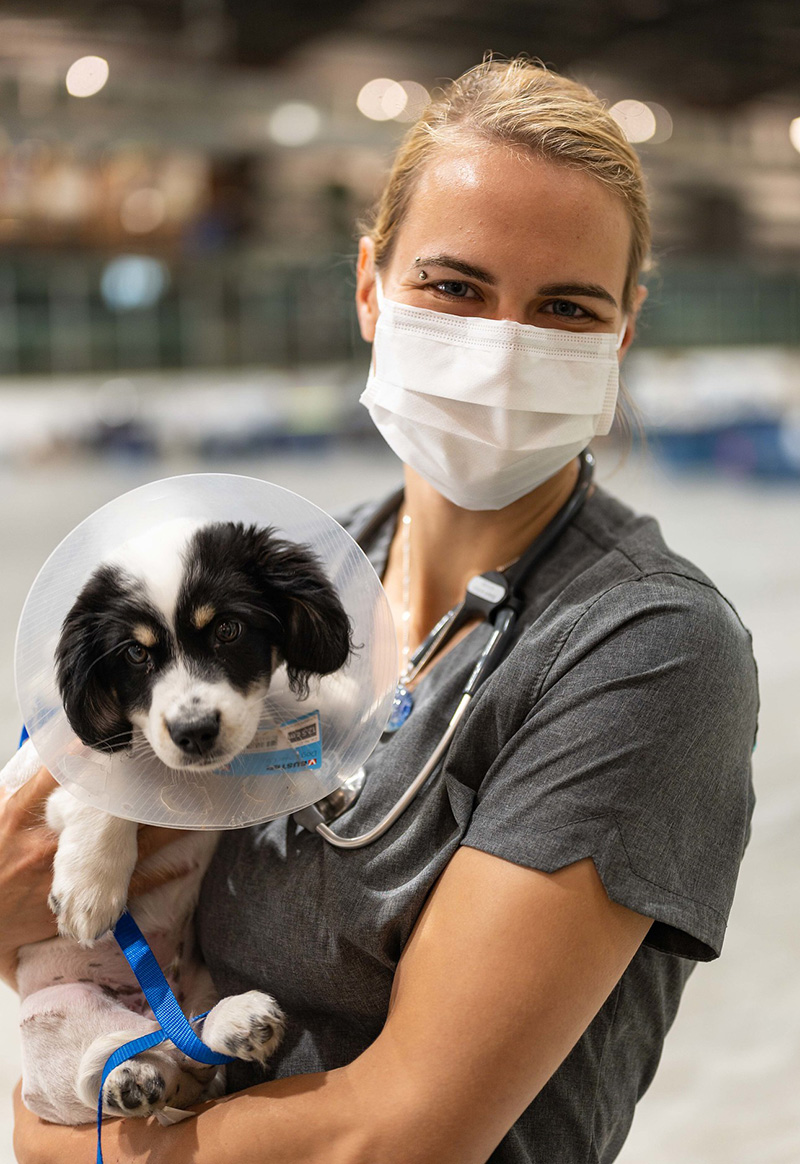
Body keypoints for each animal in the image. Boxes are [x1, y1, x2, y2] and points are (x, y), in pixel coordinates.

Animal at [3, 521, 351, 1126]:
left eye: (228, 630)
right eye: (134, 655)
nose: (194, 732)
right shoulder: (46, 774)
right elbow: (113, 779)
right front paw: (89, 889)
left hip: (201, 977)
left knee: (189, 1047)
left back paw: (236, 1024)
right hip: (60, 1013)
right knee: (132, 1054)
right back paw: (131, 1079)